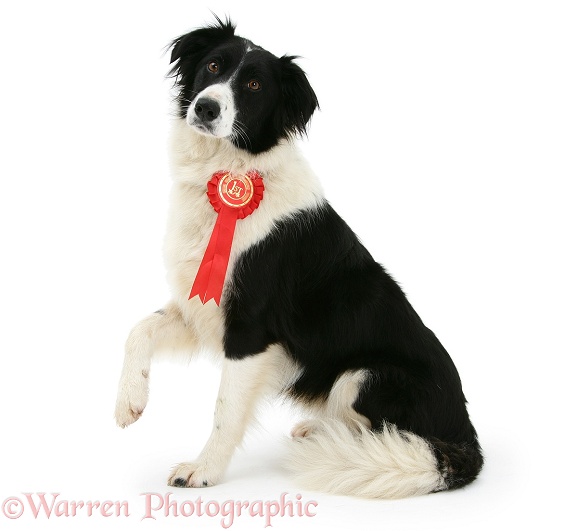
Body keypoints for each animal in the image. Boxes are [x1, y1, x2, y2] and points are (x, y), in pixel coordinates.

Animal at [113, 16, 482, 498]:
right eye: (213, 65)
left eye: (254, 84)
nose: (206, 108)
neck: (229, 168)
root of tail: (467, 439)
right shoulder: (203, 303)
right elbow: (139, 330)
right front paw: (129, 401)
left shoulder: (250, 328)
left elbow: (225, 408)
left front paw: (204, 470)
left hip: (363, 376)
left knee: (391, 435)